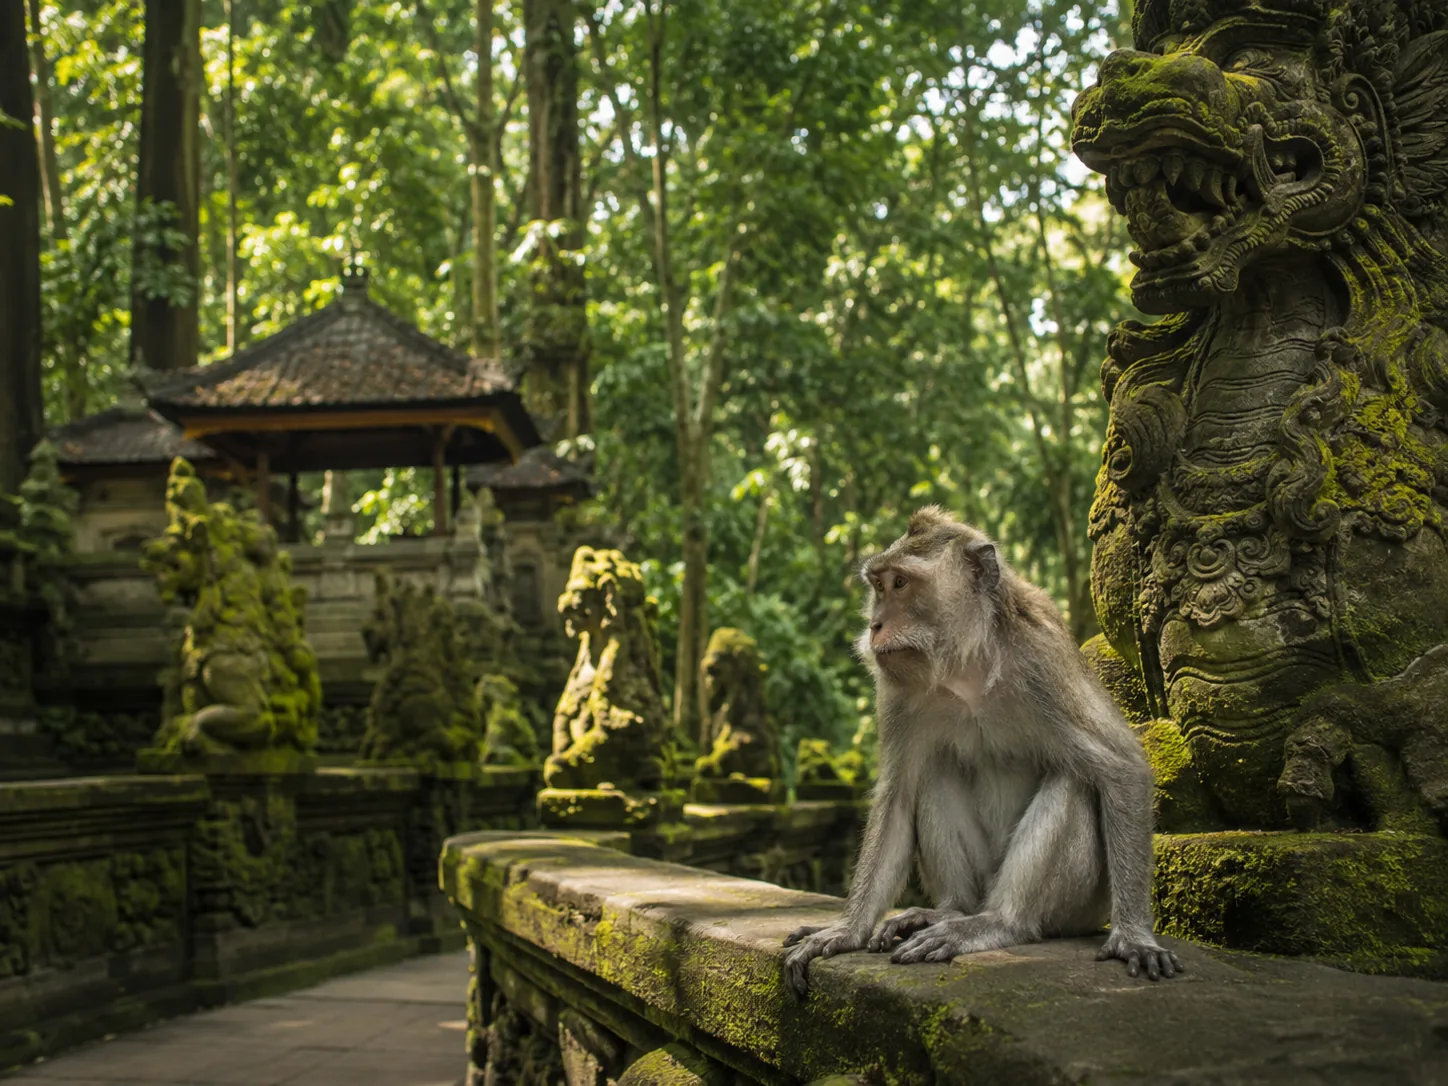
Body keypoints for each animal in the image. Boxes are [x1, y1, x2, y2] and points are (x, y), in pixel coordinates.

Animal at [783, 506, 1179, 997]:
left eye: (901, 584)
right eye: (879, 586)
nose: (875, 626)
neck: (968, 663)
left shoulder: (1043, 662)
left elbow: (1123, 768)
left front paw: (1135, 937)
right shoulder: (898, 692)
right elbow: (897, 797)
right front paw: (844, 930)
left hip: (1080, 906)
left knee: (1073, 781)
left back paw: (998, 923)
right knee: (933, 776)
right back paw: (947, 911)